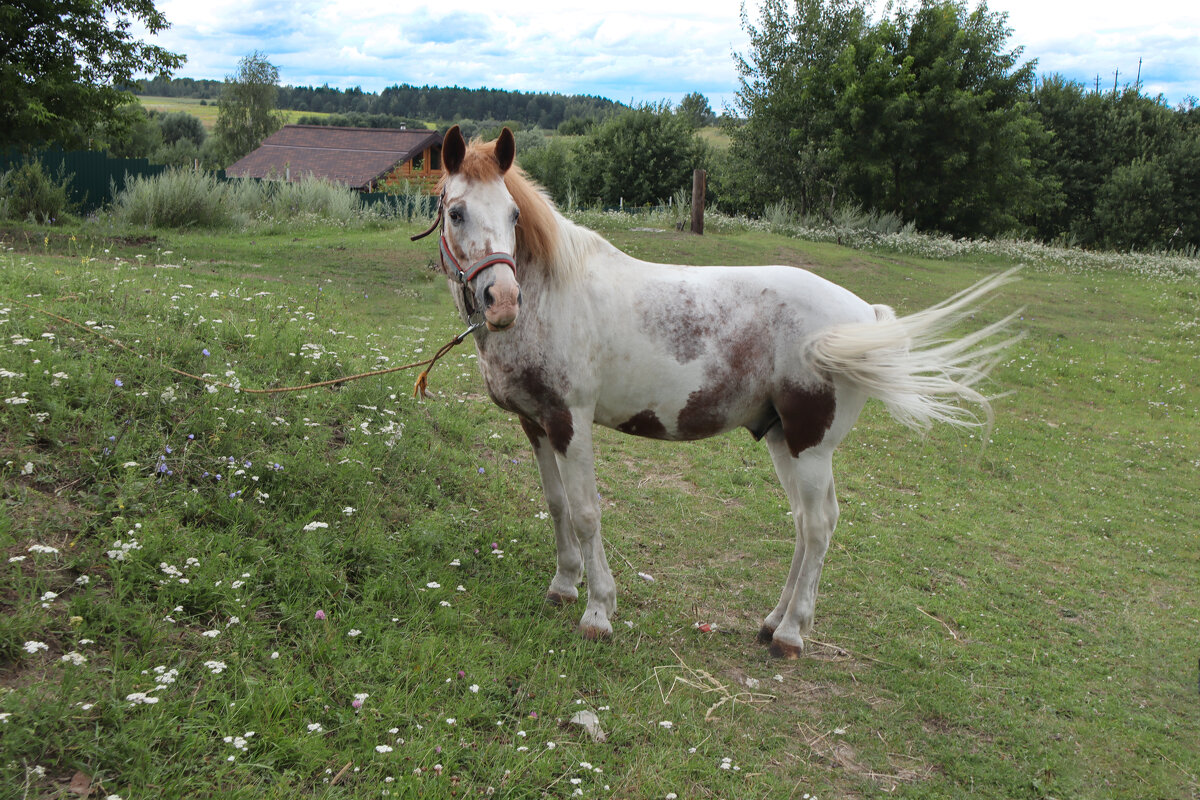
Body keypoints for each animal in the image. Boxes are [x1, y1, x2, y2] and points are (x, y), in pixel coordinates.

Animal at [417, 125, 1017, 662]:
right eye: (456, 212)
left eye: (513, 216)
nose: (502, 301)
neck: (551, 297)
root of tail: (862, 315)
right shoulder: (536, 423)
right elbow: (557, 503)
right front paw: (565, 586)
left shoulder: (571, 421)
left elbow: (587, 512)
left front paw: (598, 612)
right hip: (783, 440)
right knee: (805, 523)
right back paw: (773, 621)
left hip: (811, 446)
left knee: (819, 525)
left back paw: (791, 635)